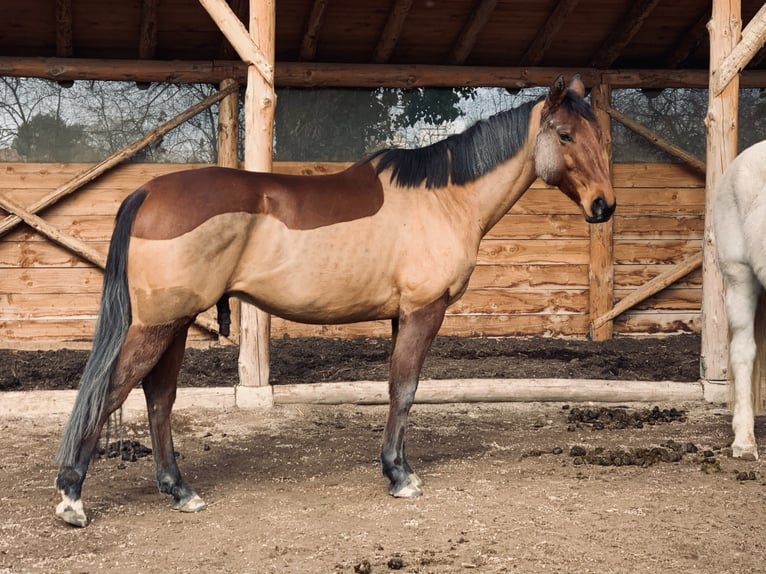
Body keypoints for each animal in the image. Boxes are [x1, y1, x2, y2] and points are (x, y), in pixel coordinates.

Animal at [54, 74, 616, 528]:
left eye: (599, 136)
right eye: (565, 135)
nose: (603, 206)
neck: (444, 198)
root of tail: (148, 191)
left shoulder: (401, 316)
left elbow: (396, 389)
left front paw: (394, 466)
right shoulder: (423, 312)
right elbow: (405, 390)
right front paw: (400, 475)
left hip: (174, 322)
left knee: (159, 398)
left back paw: (179, 489)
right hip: (159, 325)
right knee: (111, 392)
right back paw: (71, 497)